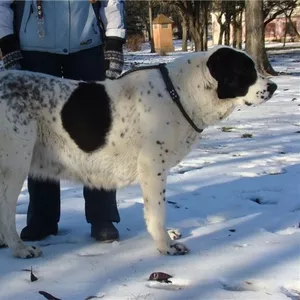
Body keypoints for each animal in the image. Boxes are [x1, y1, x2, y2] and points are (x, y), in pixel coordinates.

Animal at [0, 47, 276, 258]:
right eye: (245, 71)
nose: (273, 86)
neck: (181, 93)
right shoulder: (153, 168)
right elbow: (158, 211)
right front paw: (166, 245)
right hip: (15, 165)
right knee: (6, 211)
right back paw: (20, 249)